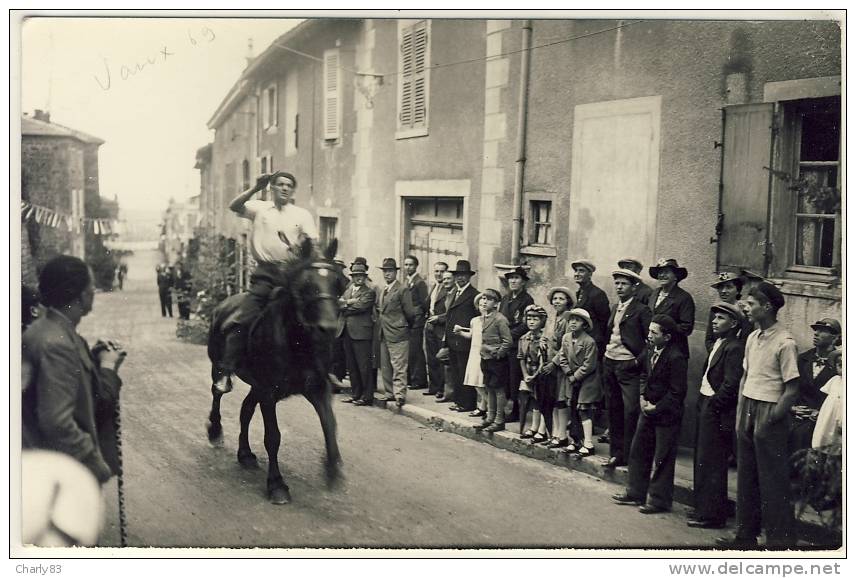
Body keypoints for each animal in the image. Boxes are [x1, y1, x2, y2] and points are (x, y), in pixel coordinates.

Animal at [206, 236, 342, 502]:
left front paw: (332, 468)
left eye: (337, 283)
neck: (297, 341)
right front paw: (277, 484)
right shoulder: (268, 391)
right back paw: (215, 430)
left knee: (245, 409)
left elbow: (329, 425)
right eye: (307, 285)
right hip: (219, 368)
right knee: (217, 393)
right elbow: (273, 436)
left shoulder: (317, 388)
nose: (329, 328)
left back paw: (245, 453)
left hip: (256, 386)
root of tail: (222, 305)